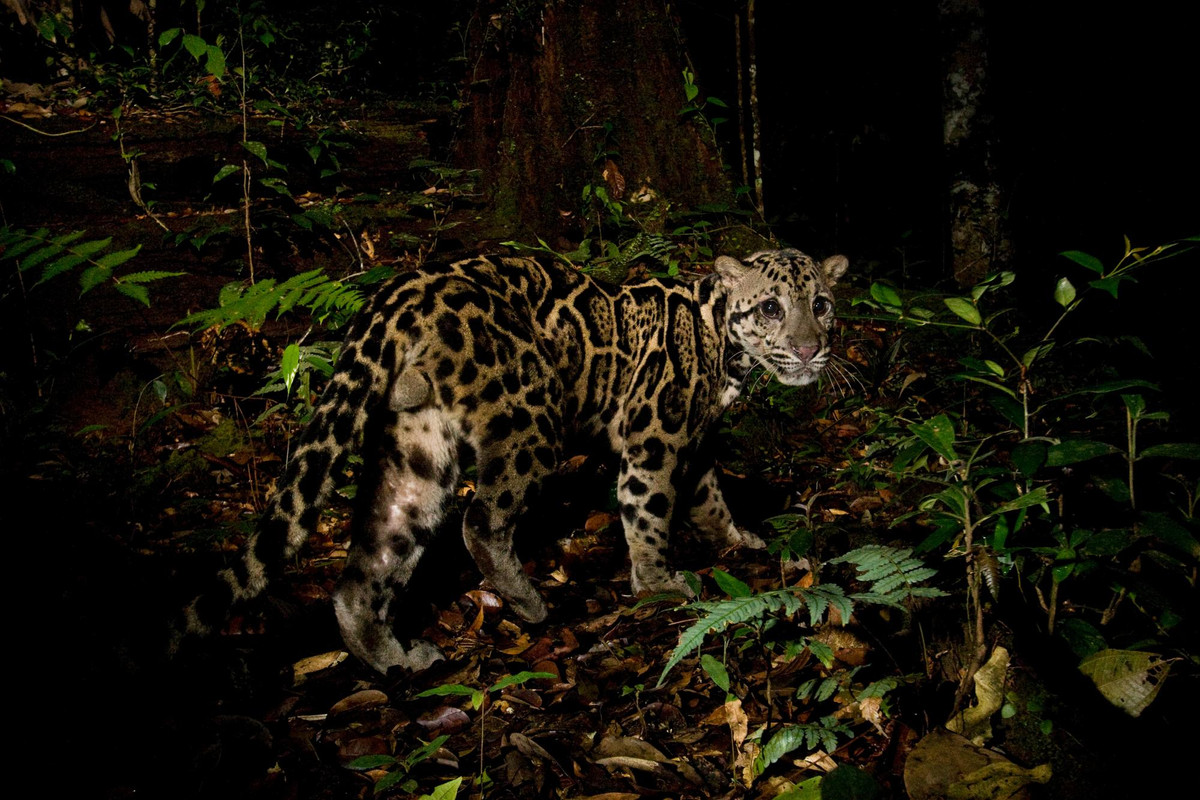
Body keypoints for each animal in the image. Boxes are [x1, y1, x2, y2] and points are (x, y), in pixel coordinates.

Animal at [180, 248, 849, 673]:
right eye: (770, 308)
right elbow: (649, 510)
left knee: (369, 565)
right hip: (533, 415)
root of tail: (400, 293)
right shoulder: (653, 435)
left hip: (416, 446)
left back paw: (396, 659)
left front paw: (740, 541)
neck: (723, 350)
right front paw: (660, 584)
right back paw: (529, 603)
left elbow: (710, 500)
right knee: (480, 521)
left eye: (821, 304)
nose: (810, 350)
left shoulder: (698, 440)